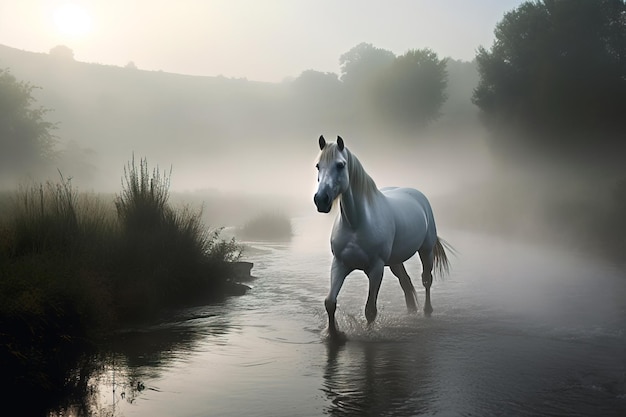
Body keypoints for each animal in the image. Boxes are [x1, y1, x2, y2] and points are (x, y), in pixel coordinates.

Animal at [312, 136, 448, 338]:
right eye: (318, 166)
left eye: (340, 165)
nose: (321, 199)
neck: (356, 224)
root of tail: (418, 196)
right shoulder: (339, 264)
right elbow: (330, 302)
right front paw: (333, 334)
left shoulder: (376, 269)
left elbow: (370, 310)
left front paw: (369, 334)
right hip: (395, 261)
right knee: (405, 282)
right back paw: (412, 312)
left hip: (426, 251)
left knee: (426, 279)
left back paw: (427, 311)